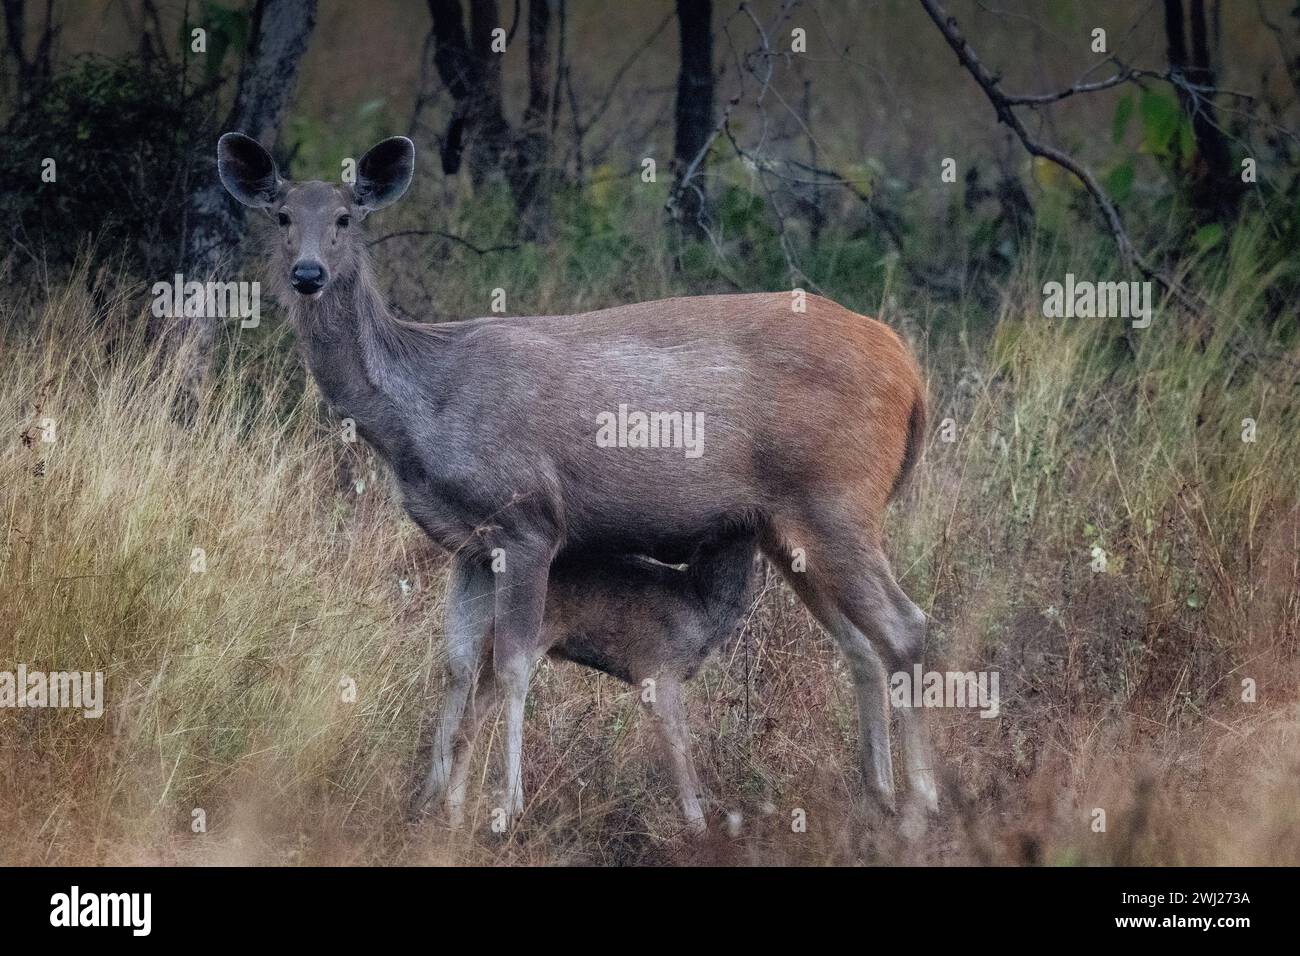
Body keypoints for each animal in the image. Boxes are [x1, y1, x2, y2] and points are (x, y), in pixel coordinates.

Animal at [218, 132, 941, 832]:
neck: (421, 404)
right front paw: (430, 806)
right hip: (786, 527)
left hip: (835, 499)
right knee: (860, 645)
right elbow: (456, 664)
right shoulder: (467, 545)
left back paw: (919, 807)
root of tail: (910, 372)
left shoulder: (528, 521)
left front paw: (502, 808)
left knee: (907, 628)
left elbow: (511, 665)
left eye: (346, 217)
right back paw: (875, 796)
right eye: (281, 216)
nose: (307, 274)